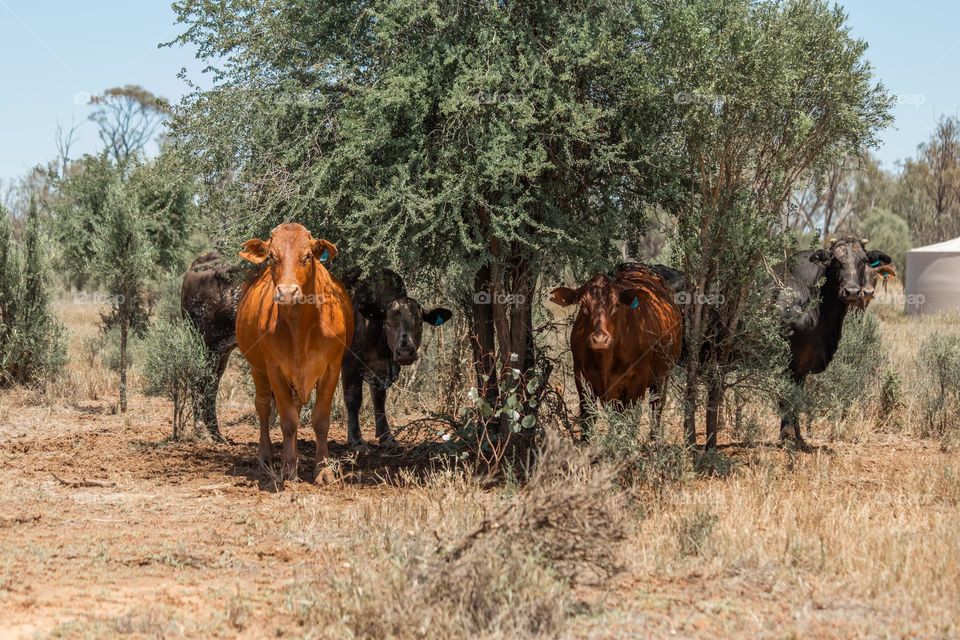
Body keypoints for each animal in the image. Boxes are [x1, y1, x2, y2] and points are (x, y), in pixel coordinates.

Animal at [235, 223, 353, 483]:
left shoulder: (332, 368)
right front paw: (288, 468)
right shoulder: (274, 369)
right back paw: (266, 456)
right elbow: (288, 421)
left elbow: (320, 420)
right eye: (271, 256)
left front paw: (323, 470)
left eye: (307, 256)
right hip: (257, 368)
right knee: (263, 407)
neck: (300, 328)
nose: (287, 292)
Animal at [338, 268, 452, 450]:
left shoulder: (380, 370)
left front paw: (386, 437)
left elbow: (379, 400)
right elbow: (353, 398)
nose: (405, 353)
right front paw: (356, 440)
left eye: (419, 323)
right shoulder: (350, 362)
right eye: (388, 323)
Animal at [550, 263, 683, 439]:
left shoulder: (638, 380)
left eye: (616, 306)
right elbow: (588, 417)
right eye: (584, 306)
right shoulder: (581, 376)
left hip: (662, 376)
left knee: (656, 408)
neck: (604, 361)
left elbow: (632, 420)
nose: (600, 340)